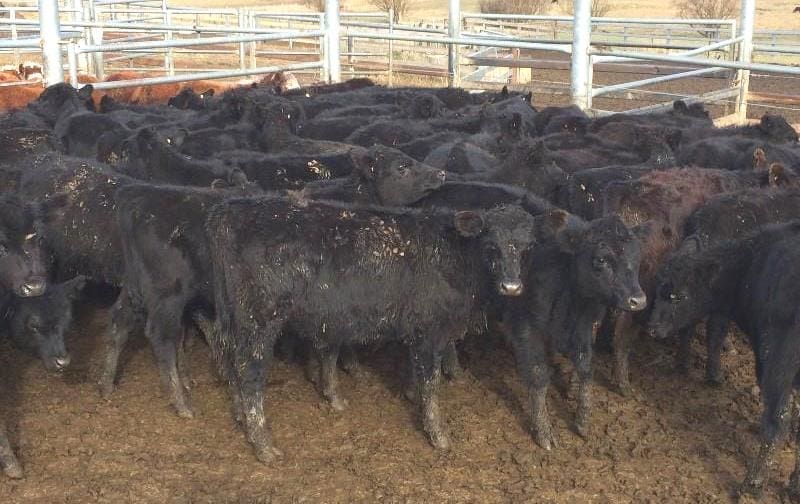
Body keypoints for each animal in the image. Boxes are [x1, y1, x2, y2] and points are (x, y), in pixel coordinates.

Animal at [206, 197, 556, 460]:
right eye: (491, 245)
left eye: (528, 247)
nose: (512, 287)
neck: (455, 254)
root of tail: (234, 210)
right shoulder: (430, 331)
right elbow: (431, 382)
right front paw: (437, 434)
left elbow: (417, 375)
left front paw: (411, 396)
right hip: (258, 321)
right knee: (249, 372)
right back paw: (264, 445)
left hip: (233, 320)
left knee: (229, 360)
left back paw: (241, 415)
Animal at [504, 213, 648, 448]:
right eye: (601, 259)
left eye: (637, 258)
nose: (638, 300)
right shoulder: (525, 324)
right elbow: (538, 373)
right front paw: (543, 430)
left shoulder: (584, 326)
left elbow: (586, 366)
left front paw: (582, 419)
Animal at [648, 223, 800, 496]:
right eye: (658, 290)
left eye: (679, 296)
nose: (652, 328)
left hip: (777, 365)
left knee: (776, 421)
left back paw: (751, 483)